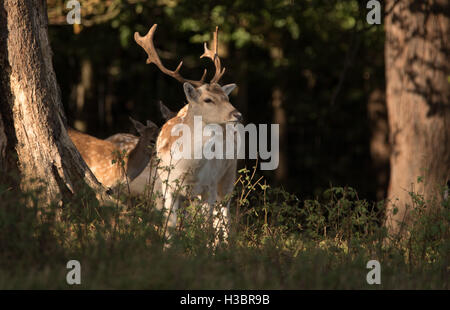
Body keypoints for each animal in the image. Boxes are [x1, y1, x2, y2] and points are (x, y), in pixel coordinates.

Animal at [134, 24, 243, 239]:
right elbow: (170, 227)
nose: (237, 114)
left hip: (227, 177)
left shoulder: (208, 188)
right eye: (208, 99)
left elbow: (206, 228)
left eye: (226, 98)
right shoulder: (168, 188)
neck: (187, 168)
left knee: (223, 218)